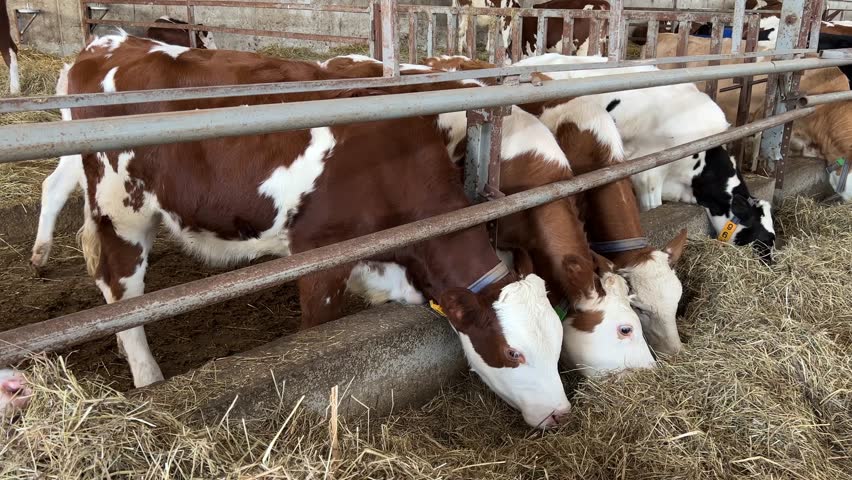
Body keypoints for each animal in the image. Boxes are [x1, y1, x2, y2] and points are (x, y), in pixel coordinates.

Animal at [36, 32, 573, 429]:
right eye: (513, 352)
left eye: (557, 342)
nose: (560, 413)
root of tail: (109, 43)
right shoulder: (320, 254)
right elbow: (318, 331)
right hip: (120, 208)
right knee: (121, 289)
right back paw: (147, 376)